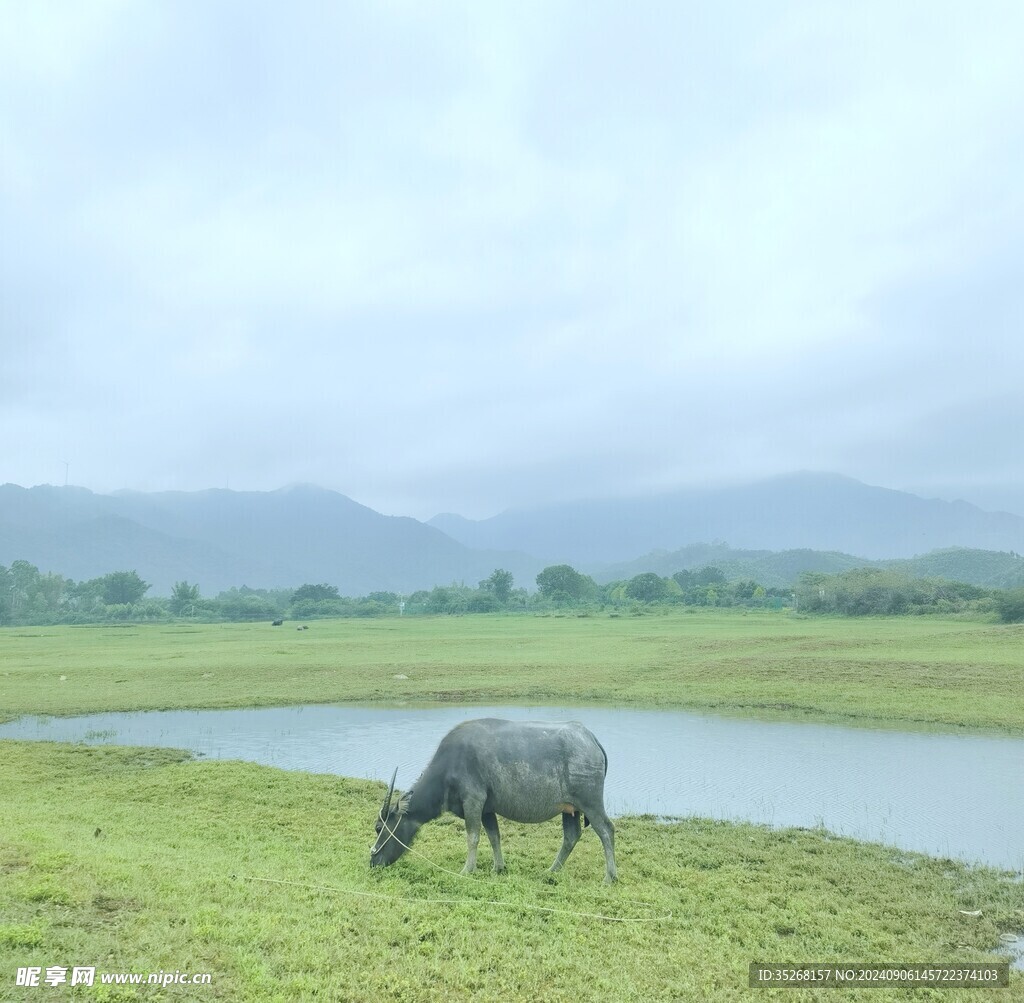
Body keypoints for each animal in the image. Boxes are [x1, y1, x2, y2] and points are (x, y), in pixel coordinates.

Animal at [372, 717, 618, 881]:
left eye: (378, 828)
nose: (373, 860)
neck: (449, 767)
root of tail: (590, 738)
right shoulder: (487, 809)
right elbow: (494, 836)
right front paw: (498, 867)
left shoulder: (473, 801)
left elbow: (473, 837)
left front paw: (467, 869)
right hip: (570, 808)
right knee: (571, 836)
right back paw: (551, 870)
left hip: (591, 803)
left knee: (606, 830)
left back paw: (610, 876)